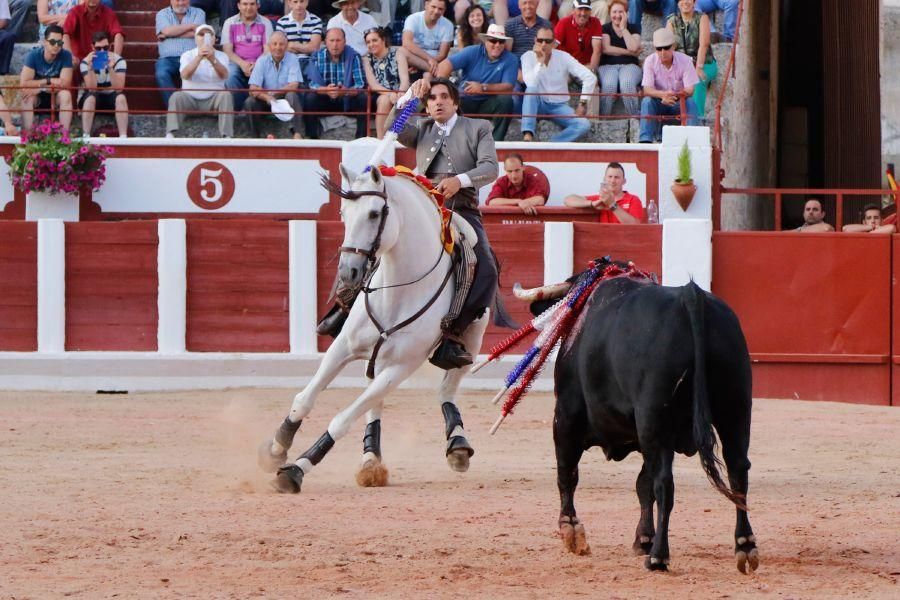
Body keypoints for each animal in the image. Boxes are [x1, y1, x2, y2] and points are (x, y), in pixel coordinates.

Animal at [256, 164, 488, 492]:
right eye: (343, 213)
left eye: (375, 213)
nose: (348, 271)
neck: (399, 288)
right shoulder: (343, 347)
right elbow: (304, 399)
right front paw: (276, 449)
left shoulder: (401, 367)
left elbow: (342, 420)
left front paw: (296, 469)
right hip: (376, 358)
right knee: (373, 402)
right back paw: (371, 460)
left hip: (472, 341)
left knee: (446, 389)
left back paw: (457, 444)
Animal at [540, 274, 760, 576]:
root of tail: (690, 295)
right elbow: (642, 485)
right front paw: (644, 538)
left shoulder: (566, 416)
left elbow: (568, 473)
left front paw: (571, 531)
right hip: (735, 407)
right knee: (738, 470)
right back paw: (745, 546)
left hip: (654, 418)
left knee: (664, 483)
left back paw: (659, 557)